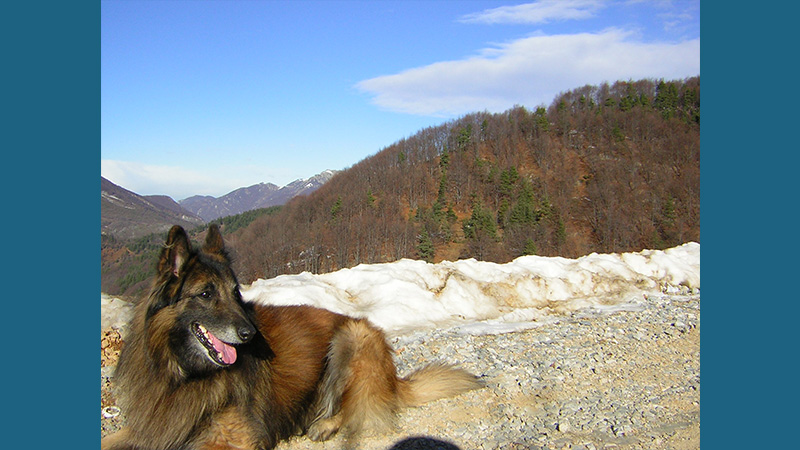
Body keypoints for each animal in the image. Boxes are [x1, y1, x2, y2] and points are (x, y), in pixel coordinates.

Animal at [101, 225, 482, 450]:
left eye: (234, 292)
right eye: (206, 294)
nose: (250, 334)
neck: (182, 375)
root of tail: (393, 377)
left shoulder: (234, 438)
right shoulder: (151, 427)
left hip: (352, 339)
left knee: (357, 408)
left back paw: (323, 425)